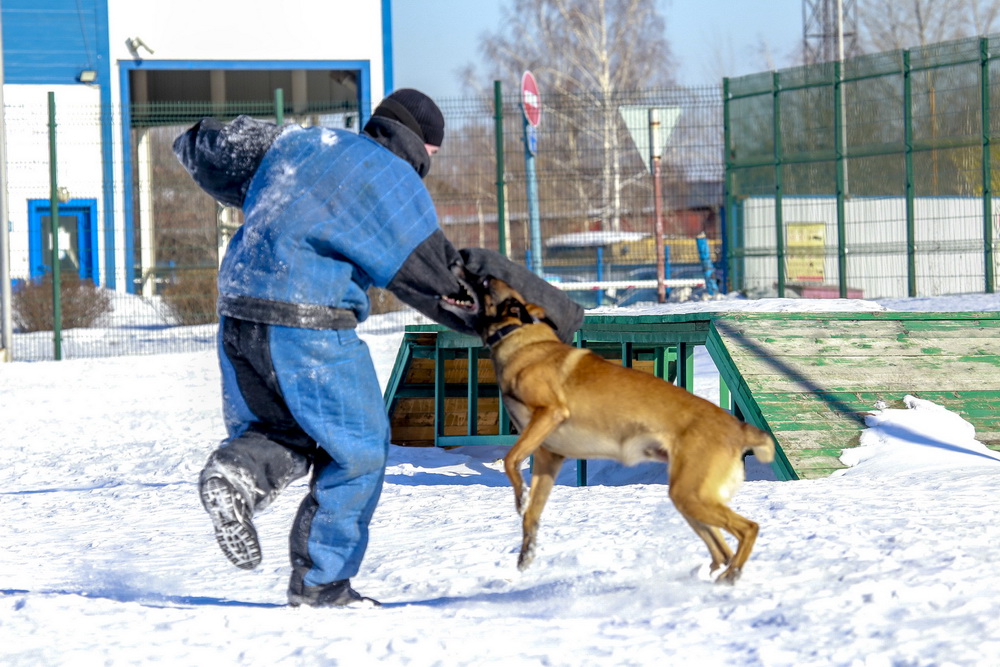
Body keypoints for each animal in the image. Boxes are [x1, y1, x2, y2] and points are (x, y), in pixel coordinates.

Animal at [475, 277, 775, 584]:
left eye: (506, 296)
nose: (486, 277)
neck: (521, 337)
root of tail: (737, 427)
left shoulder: (549, 414)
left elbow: (510, 459)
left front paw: (519, 496)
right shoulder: (549, 455)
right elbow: (531, 511)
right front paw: (527, 548)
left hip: (691, 495)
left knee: (748, 528)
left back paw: (731, 575)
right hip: (689, 497)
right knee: (721, 549)